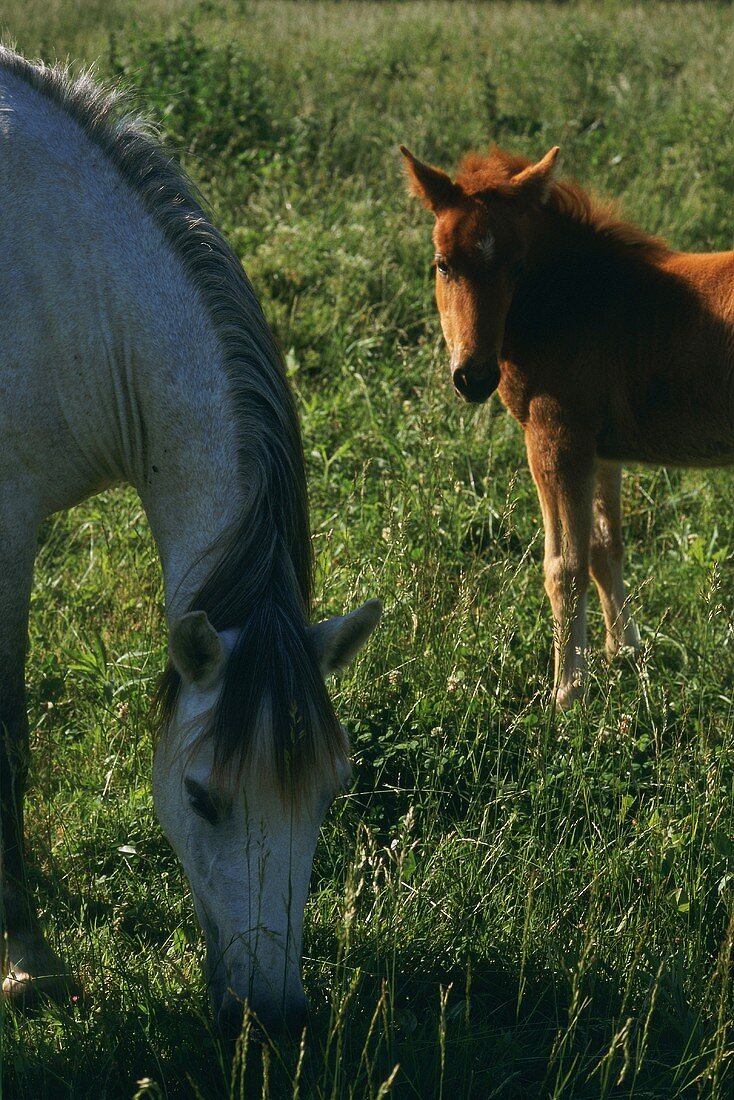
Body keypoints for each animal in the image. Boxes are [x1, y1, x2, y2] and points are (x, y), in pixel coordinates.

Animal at [402, 144, 734, 704]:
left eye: (517, 266)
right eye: (443, 264)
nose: (473, 376)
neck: (575, 303)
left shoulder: (557, 436)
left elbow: (566, 566)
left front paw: (568, 695)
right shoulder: (601, 448)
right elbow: (605, 547)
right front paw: (625, 655)